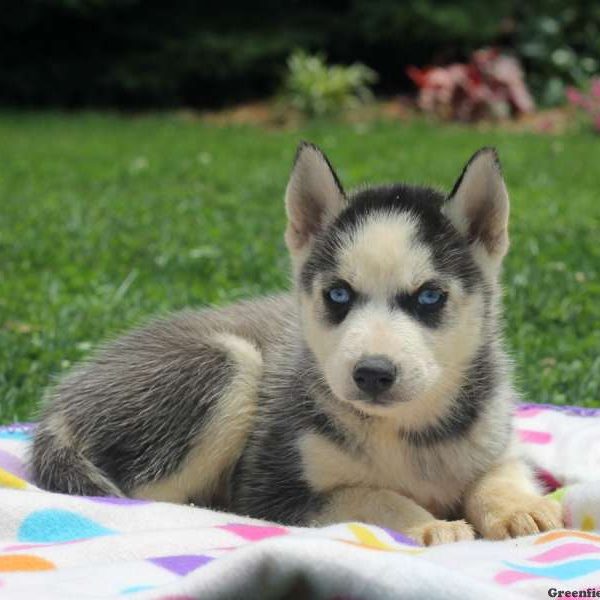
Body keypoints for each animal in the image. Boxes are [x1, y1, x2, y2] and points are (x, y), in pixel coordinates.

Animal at [29, 143, 564, 548]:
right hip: (229, 366)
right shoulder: (273, 490)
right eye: (338, 295)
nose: (372, 373)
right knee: (144, 495)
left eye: (430, 296)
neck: (406, 433)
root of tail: (58, 403)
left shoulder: (495, 437)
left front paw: (519, 508)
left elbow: (500, 473)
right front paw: (429, 523)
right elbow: (371, 495)